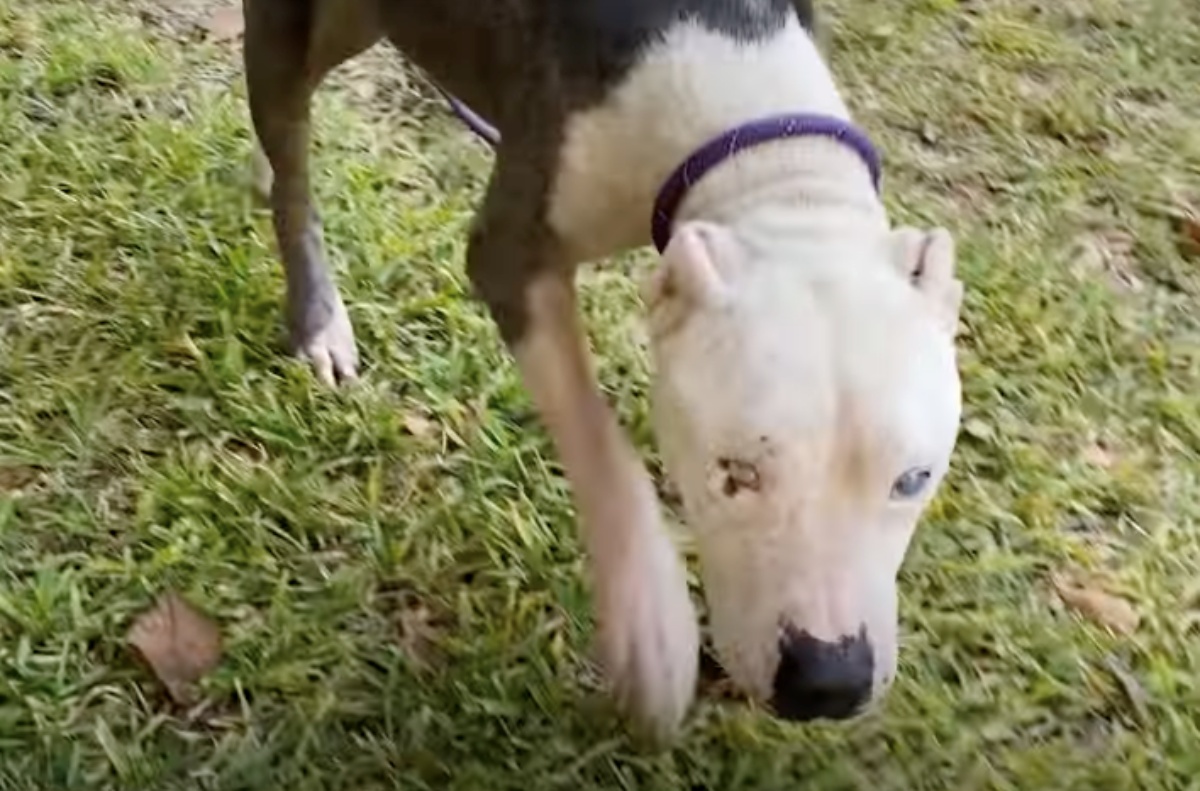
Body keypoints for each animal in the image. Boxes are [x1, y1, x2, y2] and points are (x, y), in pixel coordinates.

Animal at [241, 0, 964, 744]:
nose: (829, 681)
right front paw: (651, 629)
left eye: (914, 479)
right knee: (290, 141)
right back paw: (317, 311)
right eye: (734, 473)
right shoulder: (512, 255)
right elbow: (595, 436)